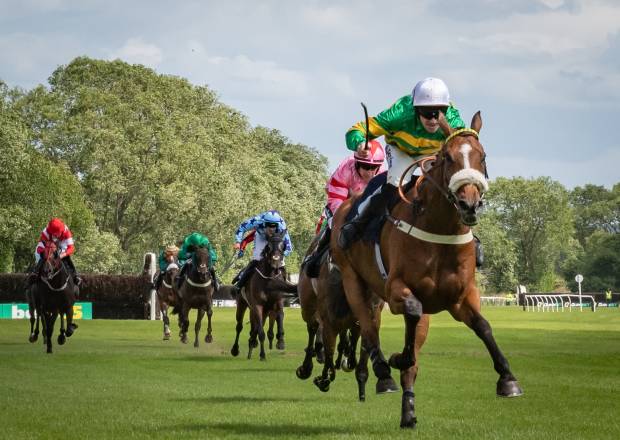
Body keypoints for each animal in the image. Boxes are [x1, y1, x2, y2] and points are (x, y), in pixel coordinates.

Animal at [332, 111, 520, 428]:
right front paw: (395, 359)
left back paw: (408, 410)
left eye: (482, 156)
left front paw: (507, 378)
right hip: (353, 280)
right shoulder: (396, 289)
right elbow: (410, 312)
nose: (469, 204)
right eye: (448, 157)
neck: (440, 231)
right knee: (369, 329)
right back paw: (384, 373)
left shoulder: (461, 297)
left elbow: (483, 326)